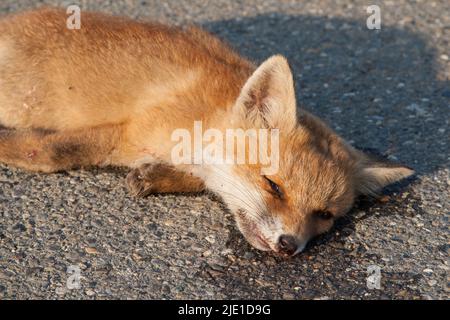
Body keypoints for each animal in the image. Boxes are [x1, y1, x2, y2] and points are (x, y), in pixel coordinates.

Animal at [0, 8, 414, 258]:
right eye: (274, 186)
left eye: (324, 215)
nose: (288, 246)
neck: (202, 116)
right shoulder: (127, 131)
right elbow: (52, 153)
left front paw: (157, 177)